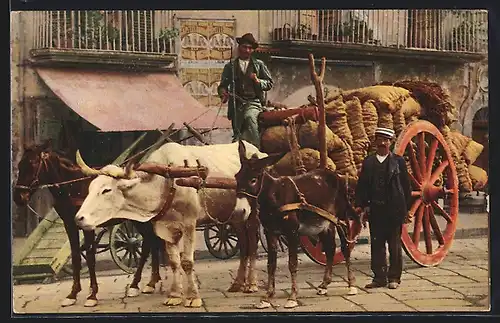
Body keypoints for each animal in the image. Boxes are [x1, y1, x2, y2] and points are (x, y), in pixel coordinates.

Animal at [12, 142, 163, 308]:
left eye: (33, 163)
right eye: (19, 164)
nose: (18, 197)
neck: (72, 188)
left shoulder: (88, 226)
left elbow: (90, 257)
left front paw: (92, 295)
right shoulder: (70, 225)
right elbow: (76, 256)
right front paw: (72, 294)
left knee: (148, 244)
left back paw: (137, 284)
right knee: (152, 242)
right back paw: (151, 282)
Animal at [232, 141, 362, 308]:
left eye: (253, 180)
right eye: (236, 177)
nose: (238, 212)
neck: (275, 195)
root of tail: (335, 175)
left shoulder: (292, 232)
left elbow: (292, 264)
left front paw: (292, 297)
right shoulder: (270, 232)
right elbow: (271, 265)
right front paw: (267, 297)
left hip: (342, 217)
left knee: (345, 247)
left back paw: (351, 285)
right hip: (324, 223)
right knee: (331, 249)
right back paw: (324, 285)